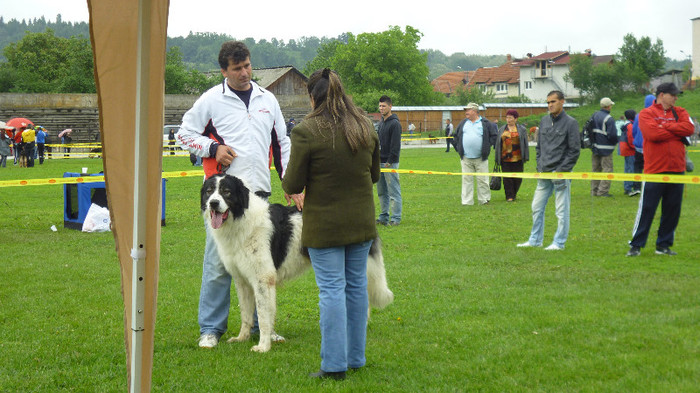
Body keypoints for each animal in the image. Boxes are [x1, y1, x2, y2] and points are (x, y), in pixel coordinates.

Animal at [201, 173, 394, 350]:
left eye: (226, 192)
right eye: (209, 191)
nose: (213, 203)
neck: (241, 220)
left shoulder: (263, 279)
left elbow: (263, 316)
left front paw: (263, 346)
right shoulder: (242, 280)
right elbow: (246, 314)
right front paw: (242, 338)